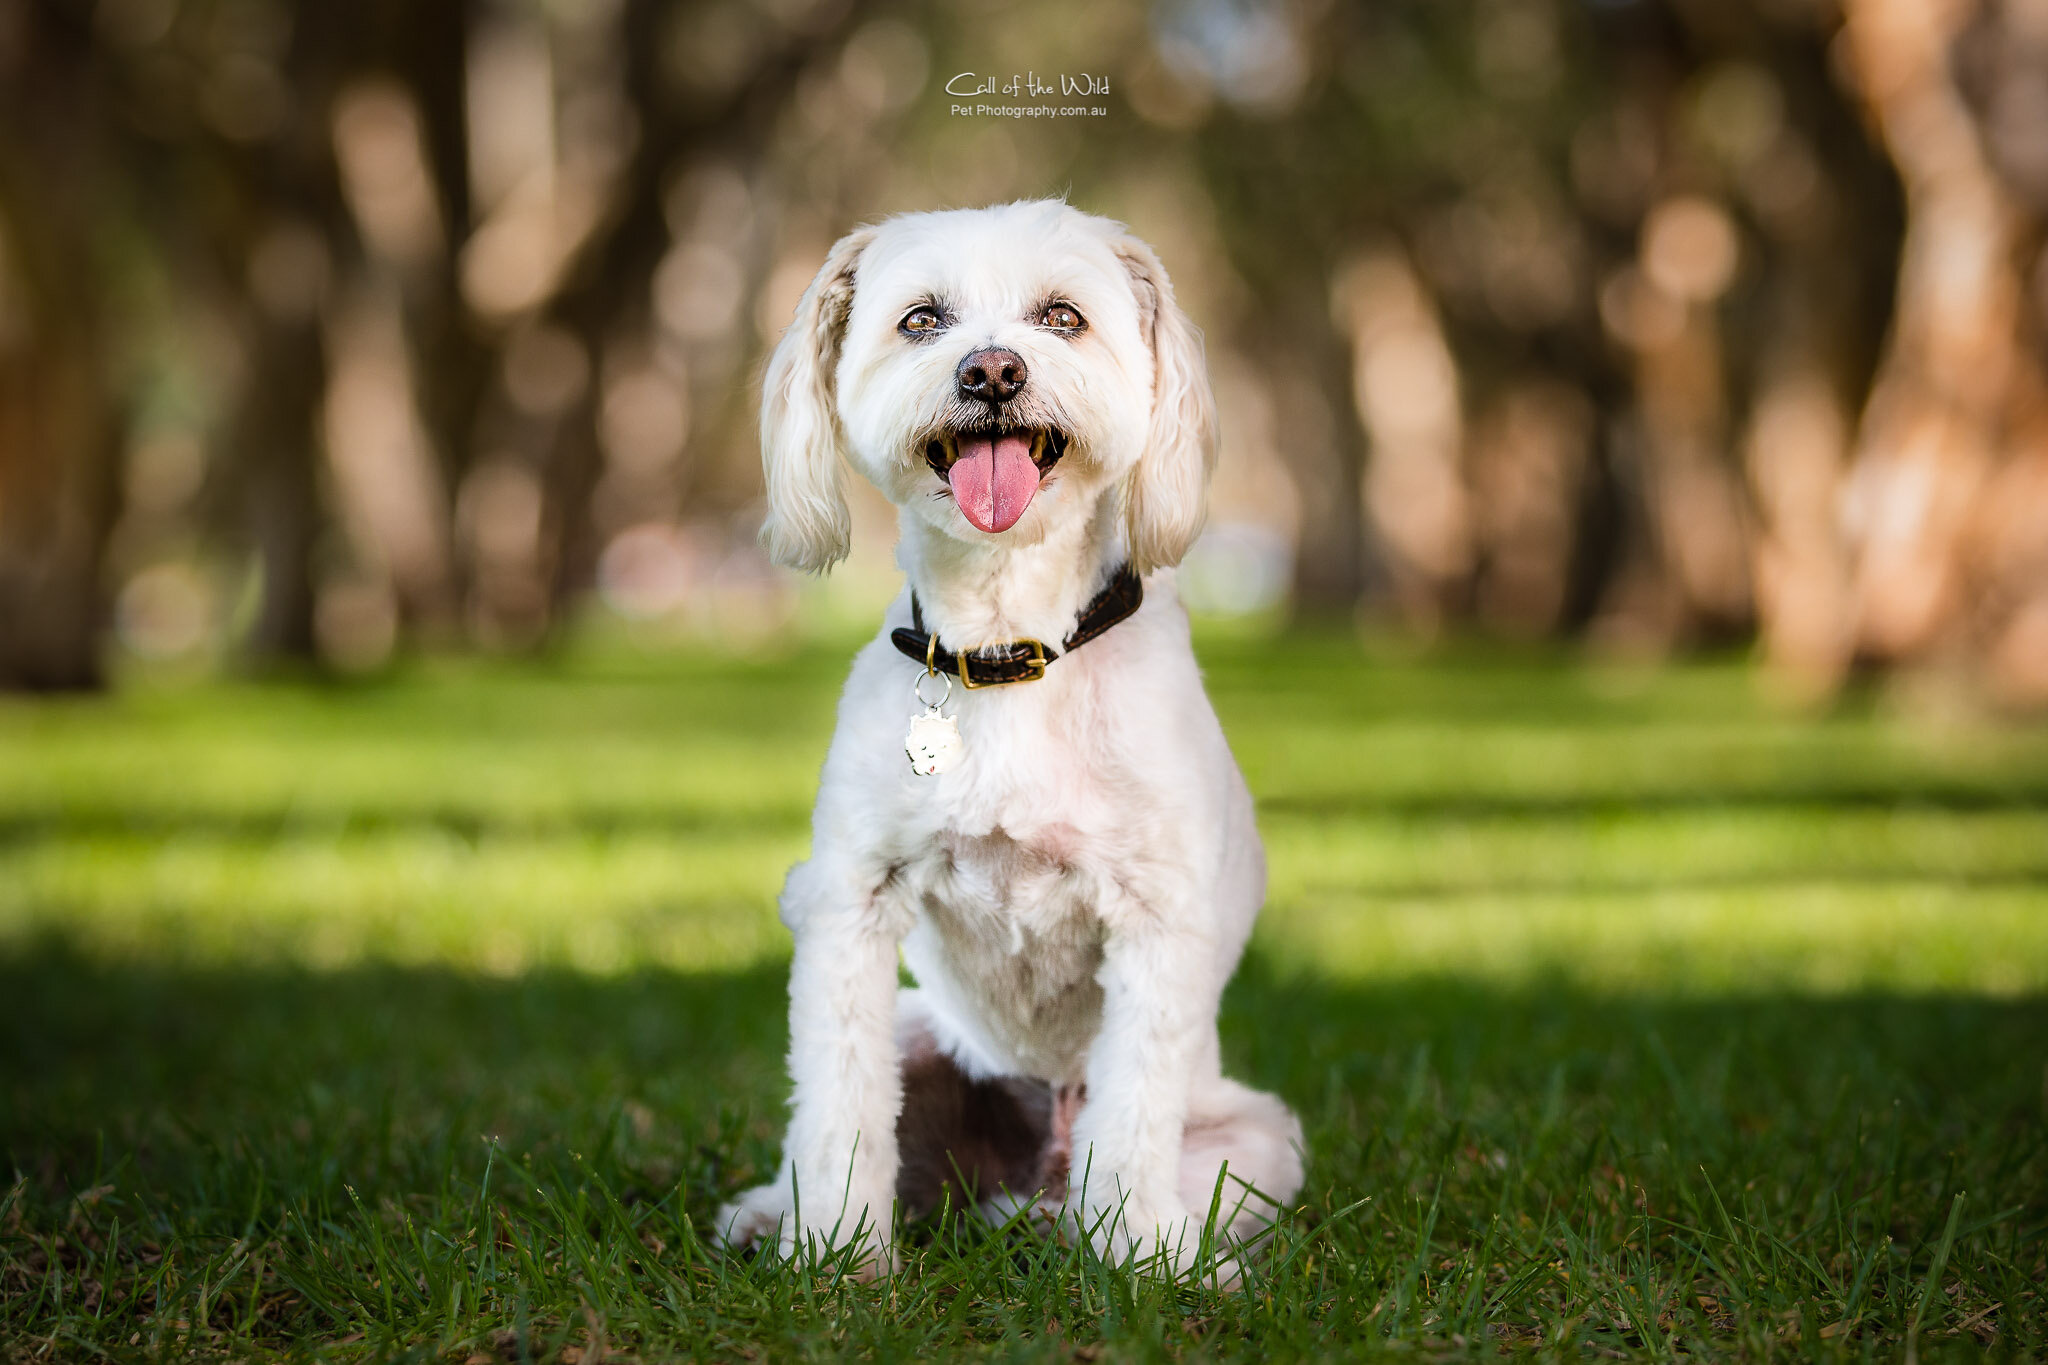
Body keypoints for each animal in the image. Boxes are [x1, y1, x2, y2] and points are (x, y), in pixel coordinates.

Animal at [712, 197, 1302, 1277]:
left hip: (1252, 1138)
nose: (991, 371)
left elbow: (1134, 1116)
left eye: (1062, 317)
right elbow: (837, 1106)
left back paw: (1151, 1247)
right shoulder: (848, 909)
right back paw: (774, 1213)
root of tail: (1031, 1173)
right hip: (921, 1034)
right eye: (921, 320)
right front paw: (836, 1255)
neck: (1009, 648)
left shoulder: (1155, 926)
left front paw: (1137, 1263)